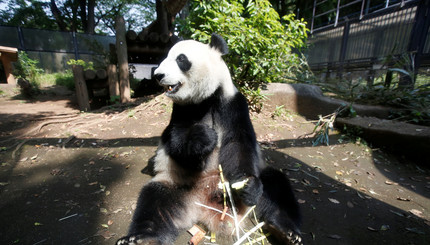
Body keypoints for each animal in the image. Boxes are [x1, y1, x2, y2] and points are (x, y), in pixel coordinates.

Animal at [116, 34, 300, 245]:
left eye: (180, 59)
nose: (158, 75)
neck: (206, 98)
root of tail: (205, 204)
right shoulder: (182, 110)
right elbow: (176, 139)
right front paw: (203, 138)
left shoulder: (233, 104)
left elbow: (238, 143)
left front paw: (247, 186)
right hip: (175, 183)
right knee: (155, 202)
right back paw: (141, 238)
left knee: (276, 185)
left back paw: (286, 231)